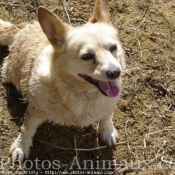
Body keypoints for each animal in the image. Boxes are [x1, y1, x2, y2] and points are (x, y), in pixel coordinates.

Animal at [0, 0, 126, 163]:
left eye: (113, 47)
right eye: (86, 56)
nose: (115, 72)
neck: (84, 94)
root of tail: (24, 27)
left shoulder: (109, 104)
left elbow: (107, 115)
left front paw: (107, 130)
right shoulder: (36, 110)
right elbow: (27, 128)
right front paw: (21, 146)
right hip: (11, 73)